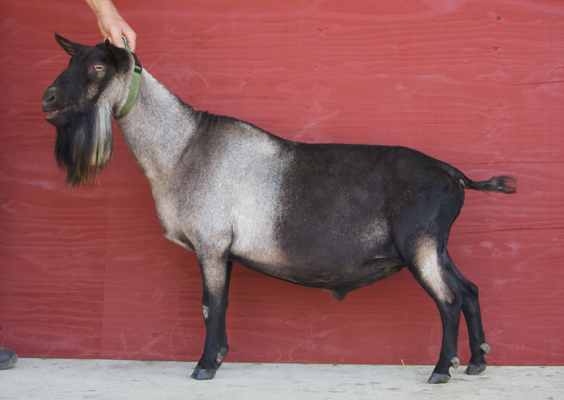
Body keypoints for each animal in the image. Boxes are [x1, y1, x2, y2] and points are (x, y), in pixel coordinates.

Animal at [40, 35, 516, 384]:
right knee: (469, 291)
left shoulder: (211, 242)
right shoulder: (224, 250)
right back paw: (477, 362)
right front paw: (220, 356)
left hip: (419, 244)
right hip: (435, 245)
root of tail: (453, 176)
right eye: (72, 60)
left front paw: (205, 367)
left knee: (449, 300)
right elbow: (221, 302)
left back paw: (442, 370)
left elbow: (211, 304)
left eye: (98, 67)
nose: (48, 100)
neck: (182, 148)